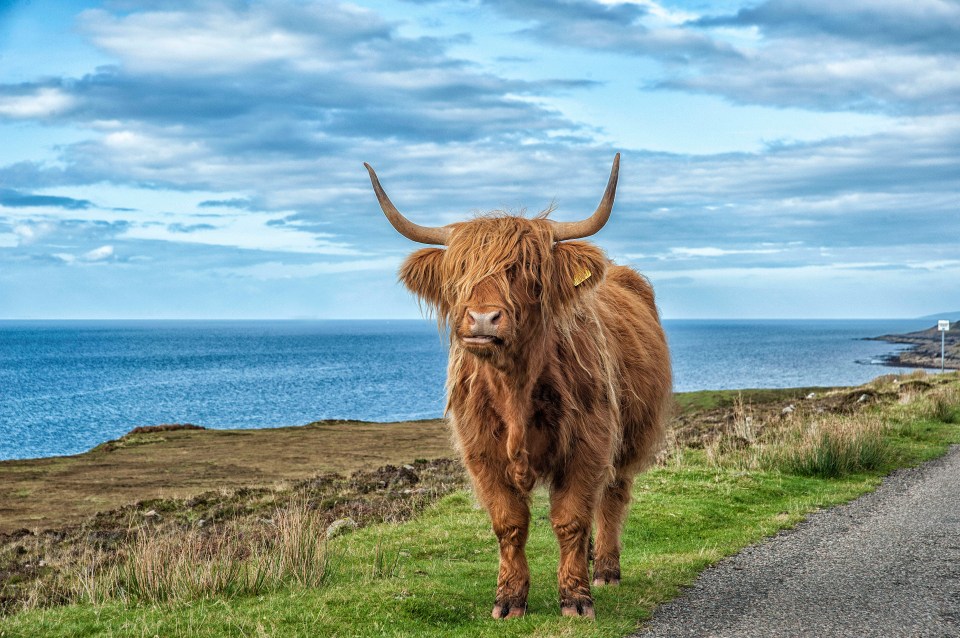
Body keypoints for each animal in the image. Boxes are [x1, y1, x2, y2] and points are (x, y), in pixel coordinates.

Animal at [364, 155, 672, 620]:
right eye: (460, 273)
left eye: (523, 271)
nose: (482, 319)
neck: (514, 389)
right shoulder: (481, 451)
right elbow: (509, 523)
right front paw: (509, 599)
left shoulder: (589, 443)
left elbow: (571, 518)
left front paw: (576, 598)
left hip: (629, 439)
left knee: (612, 498)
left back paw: (605, 569)